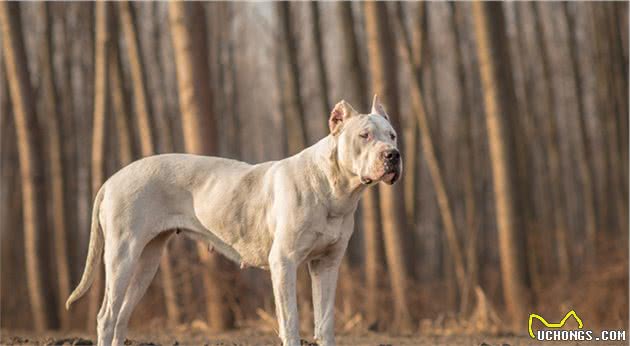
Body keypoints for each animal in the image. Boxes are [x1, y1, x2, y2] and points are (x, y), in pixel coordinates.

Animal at [68, 95, 404, 346]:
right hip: (122, 255)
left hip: (147, 261)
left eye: (392, 135)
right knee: (107, 316)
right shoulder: (284, 263)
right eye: (364, 136)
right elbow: (291, 322)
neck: (334, 189)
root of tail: (112, 180)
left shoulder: (327, 265)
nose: (393, 155)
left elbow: (325, 325)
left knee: (122, 317)